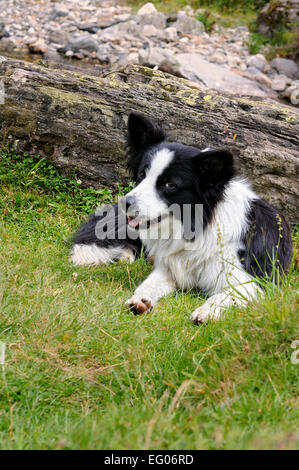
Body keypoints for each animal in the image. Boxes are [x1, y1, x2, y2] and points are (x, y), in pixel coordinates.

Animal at [70, 114, 292, 324]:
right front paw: (140, 300)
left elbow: (226, 296)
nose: (126, 203)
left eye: (170, 185)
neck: (196, 228)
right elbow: (148, 284)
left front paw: (207, 312)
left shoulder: (253, 281)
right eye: (142, 174)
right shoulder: (169, 269)